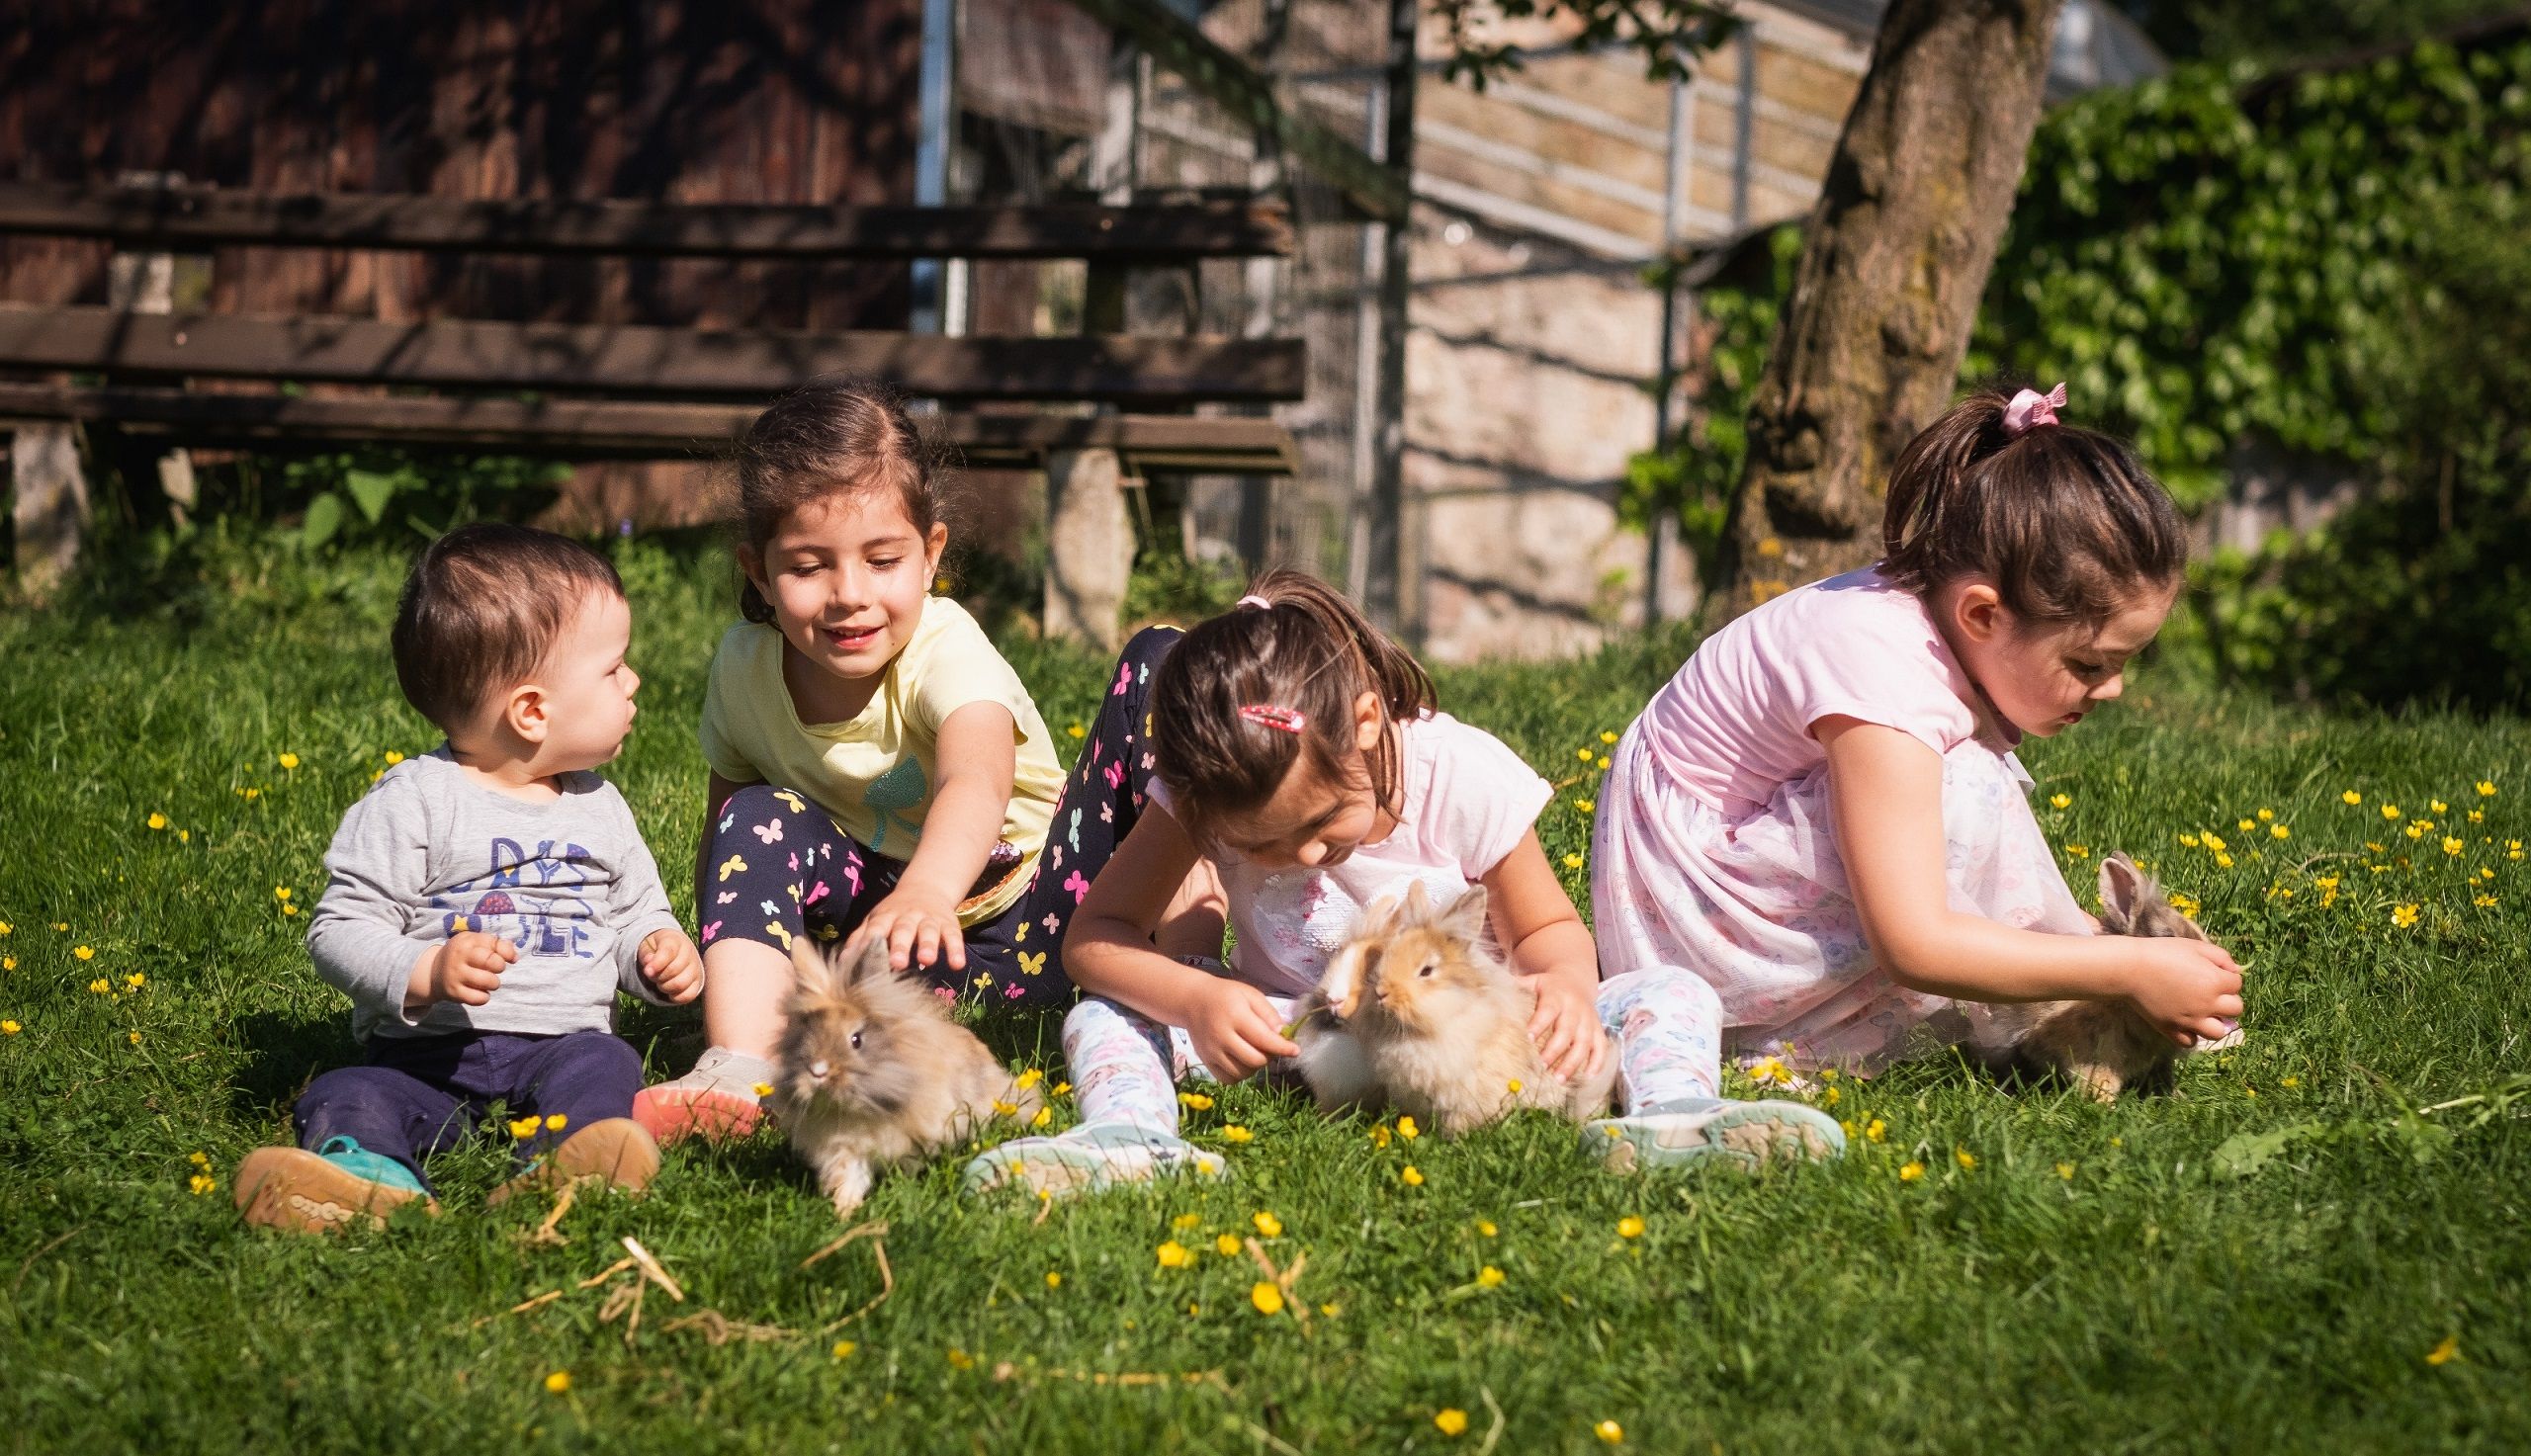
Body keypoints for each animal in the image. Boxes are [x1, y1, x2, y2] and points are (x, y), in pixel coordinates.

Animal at [772, 933, 1040, 1217]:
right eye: (806, 1034)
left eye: (856, 1040)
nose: (818, 1071)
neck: (858, 1113)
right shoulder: (847, 1149)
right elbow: (850, 1179)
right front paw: (844, 1212)